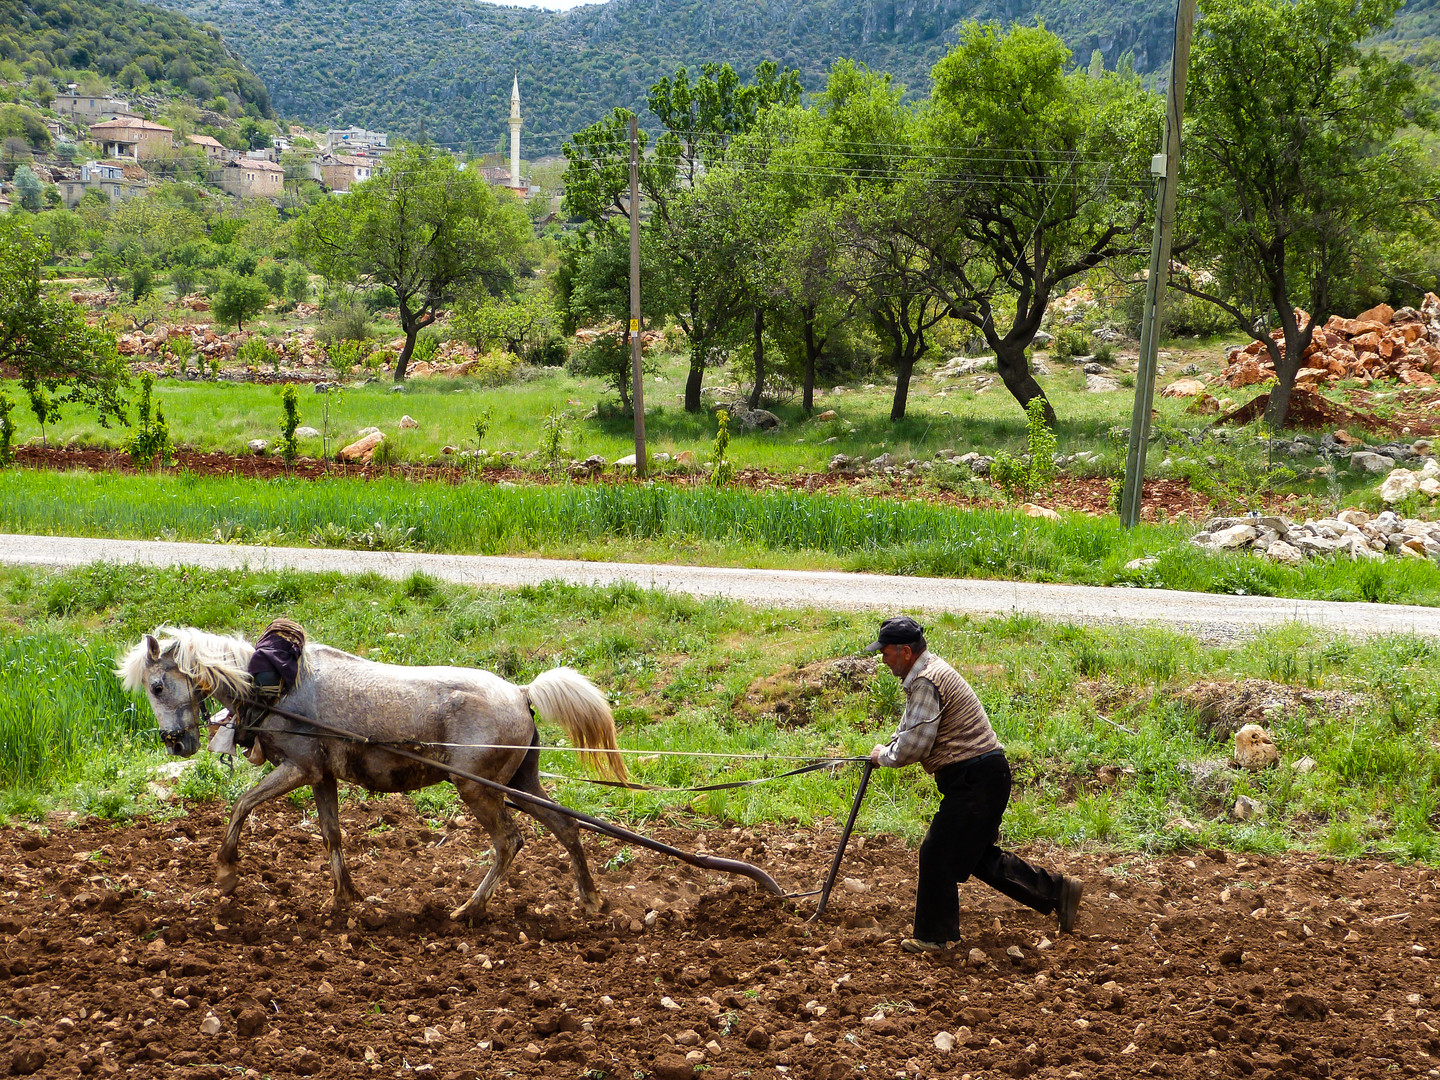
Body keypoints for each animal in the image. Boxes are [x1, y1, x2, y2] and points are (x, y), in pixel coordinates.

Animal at [116, 624, 624, 921]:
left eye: (157, 685)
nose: (175, 743)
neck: (275, 687)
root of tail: (521, 692)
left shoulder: (298, 768)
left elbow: (241, 805)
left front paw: (225, 873)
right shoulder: (321, 777)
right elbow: (331, 834)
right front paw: (345, 897)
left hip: (477, 790)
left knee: (509, 842)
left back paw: (468, 909)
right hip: (518, 785)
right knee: (566, 826)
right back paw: (590, 899)